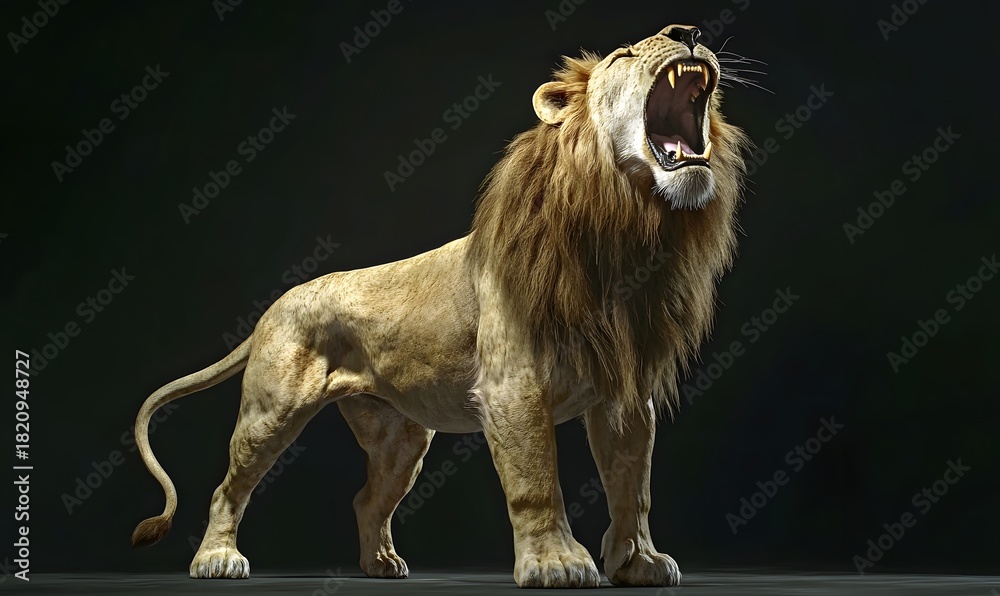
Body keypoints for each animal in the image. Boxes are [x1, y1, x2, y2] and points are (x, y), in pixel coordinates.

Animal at [129, 24, 749, 588]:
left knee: (366, 498)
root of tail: (272, 307)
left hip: (399, 438)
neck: (628, 224)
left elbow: (632, 487)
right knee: (227, 487)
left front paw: (638, 563)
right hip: (271, 411)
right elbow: (536, 481)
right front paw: (557, 564)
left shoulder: (625, 393)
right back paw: (216, 560)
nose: (689, 30)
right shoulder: (512, 385)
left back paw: (381, 564)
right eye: (624, 53)